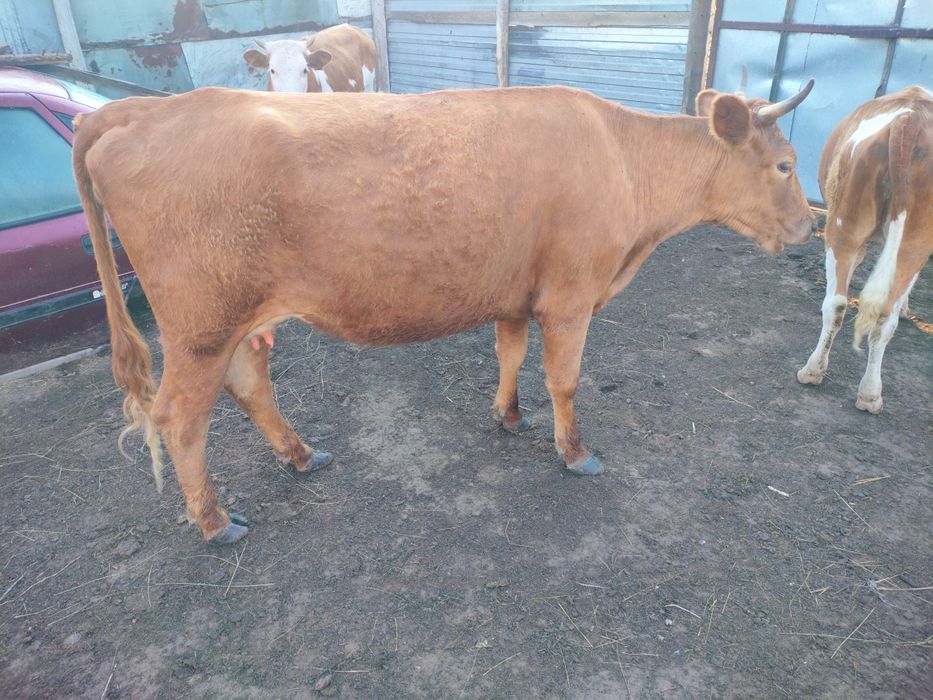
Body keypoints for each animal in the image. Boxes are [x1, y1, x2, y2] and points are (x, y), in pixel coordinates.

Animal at [73, 79, 814, 544]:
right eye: (784, 164)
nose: (812, 225)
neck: (624, 160)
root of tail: (132, 111)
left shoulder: (518, 292)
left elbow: (510, 354)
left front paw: (507, 417)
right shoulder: (570, 297)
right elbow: (565, 380)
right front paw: (574, 453)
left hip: (235, 321)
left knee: (248, 384)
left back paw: (302, 456)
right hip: (200, 325)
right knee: (179, 418)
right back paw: (214, 521)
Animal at [797, 86, 931, 412]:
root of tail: (910, 119)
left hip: (845, 226)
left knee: (842, 305)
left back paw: (821, 374)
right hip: (910, 238)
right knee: (875, 314)